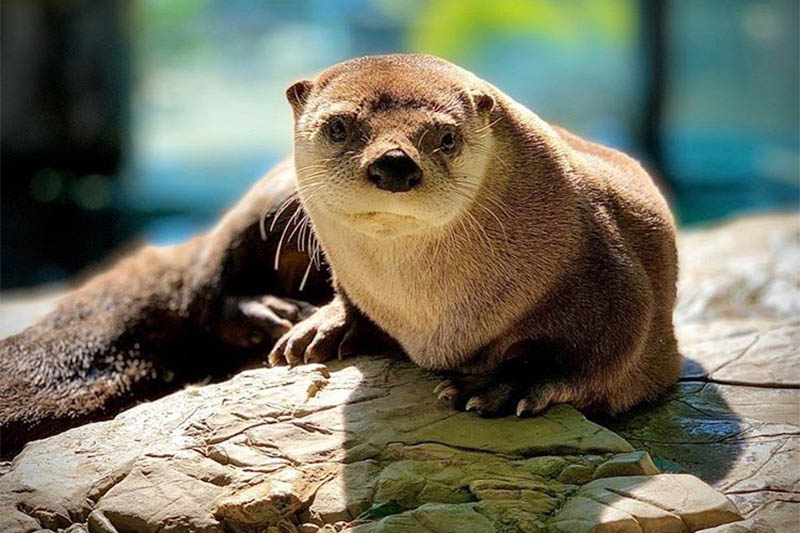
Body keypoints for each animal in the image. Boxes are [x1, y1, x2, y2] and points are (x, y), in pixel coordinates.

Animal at [0, 54, 679, 454]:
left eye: (446, 136)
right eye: (338, 126)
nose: (395, 163)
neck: (434, 315)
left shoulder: (606, 268)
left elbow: (596, 345)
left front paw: (502, 385)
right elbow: (343, 299)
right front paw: (323, 330)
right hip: (267, 202)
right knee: (206, 285)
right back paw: (274, 316)